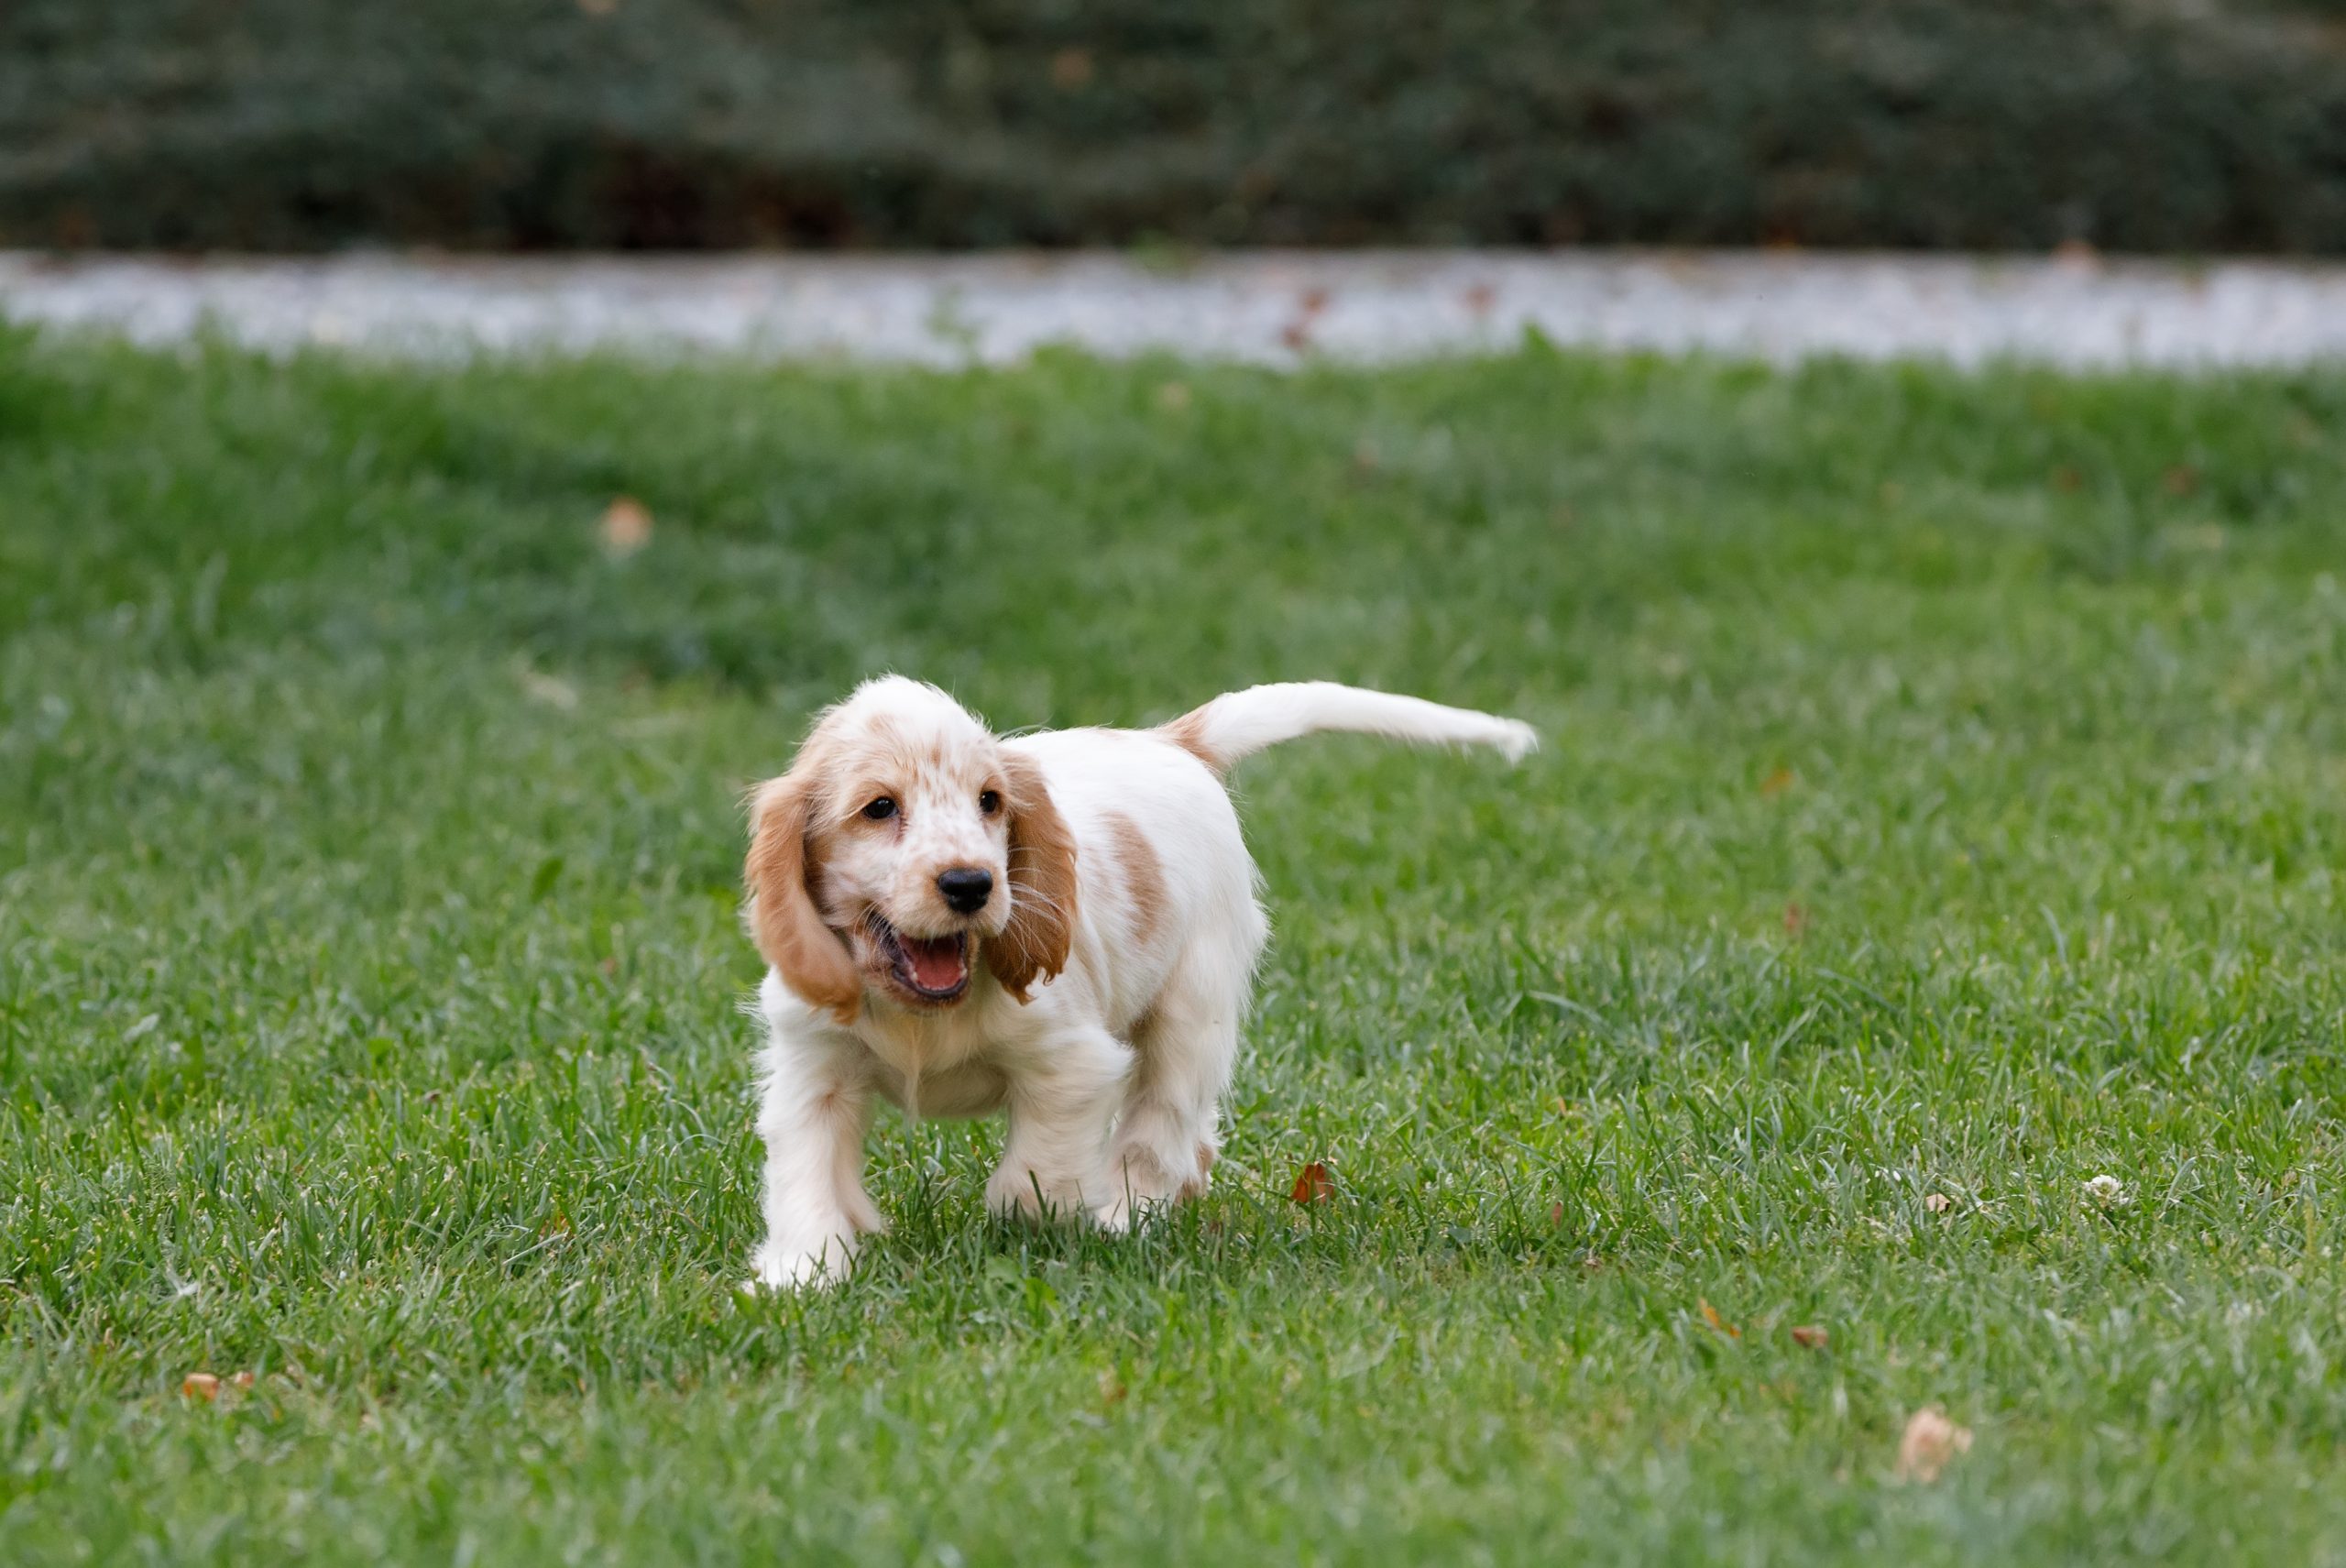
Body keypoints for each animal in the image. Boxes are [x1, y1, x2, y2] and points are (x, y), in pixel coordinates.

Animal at [740, 675, 1529, 1286]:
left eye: (990, 801)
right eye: (879, 807)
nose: (972, 884)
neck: (923, 1010)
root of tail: (1171, 741)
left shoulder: (1072, 1065)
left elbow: (1036, 1172)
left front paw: (1042, 1217)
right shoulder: (812, 1071)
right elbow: (805, 1174)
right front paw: (800, 1273)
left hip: (1191, 1009)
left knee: (1161, 1126)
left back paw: (1126, 1217)